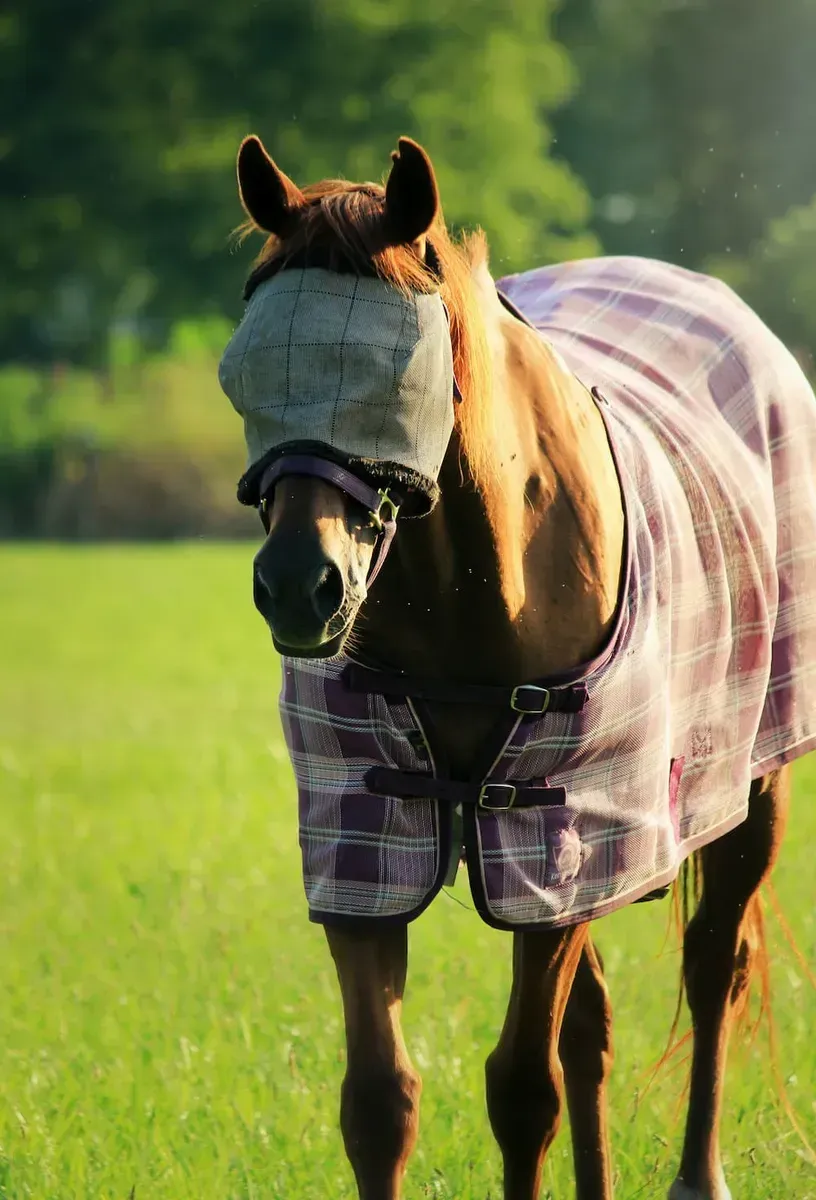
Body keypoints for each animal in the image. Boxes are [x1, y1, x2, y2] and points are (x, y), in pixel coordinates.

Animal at [217, 134, 816, 1200]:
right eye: (244, 372)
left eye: (398, 380)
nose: (298, 586)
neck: (474, 596)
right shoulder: (367, 840)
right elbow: (379, 1101)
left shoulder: (554, 832)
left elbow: (522, 1089)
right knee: (594, 1028)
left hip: (752, 781)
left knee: (713, 965)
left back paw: (697, 1173)